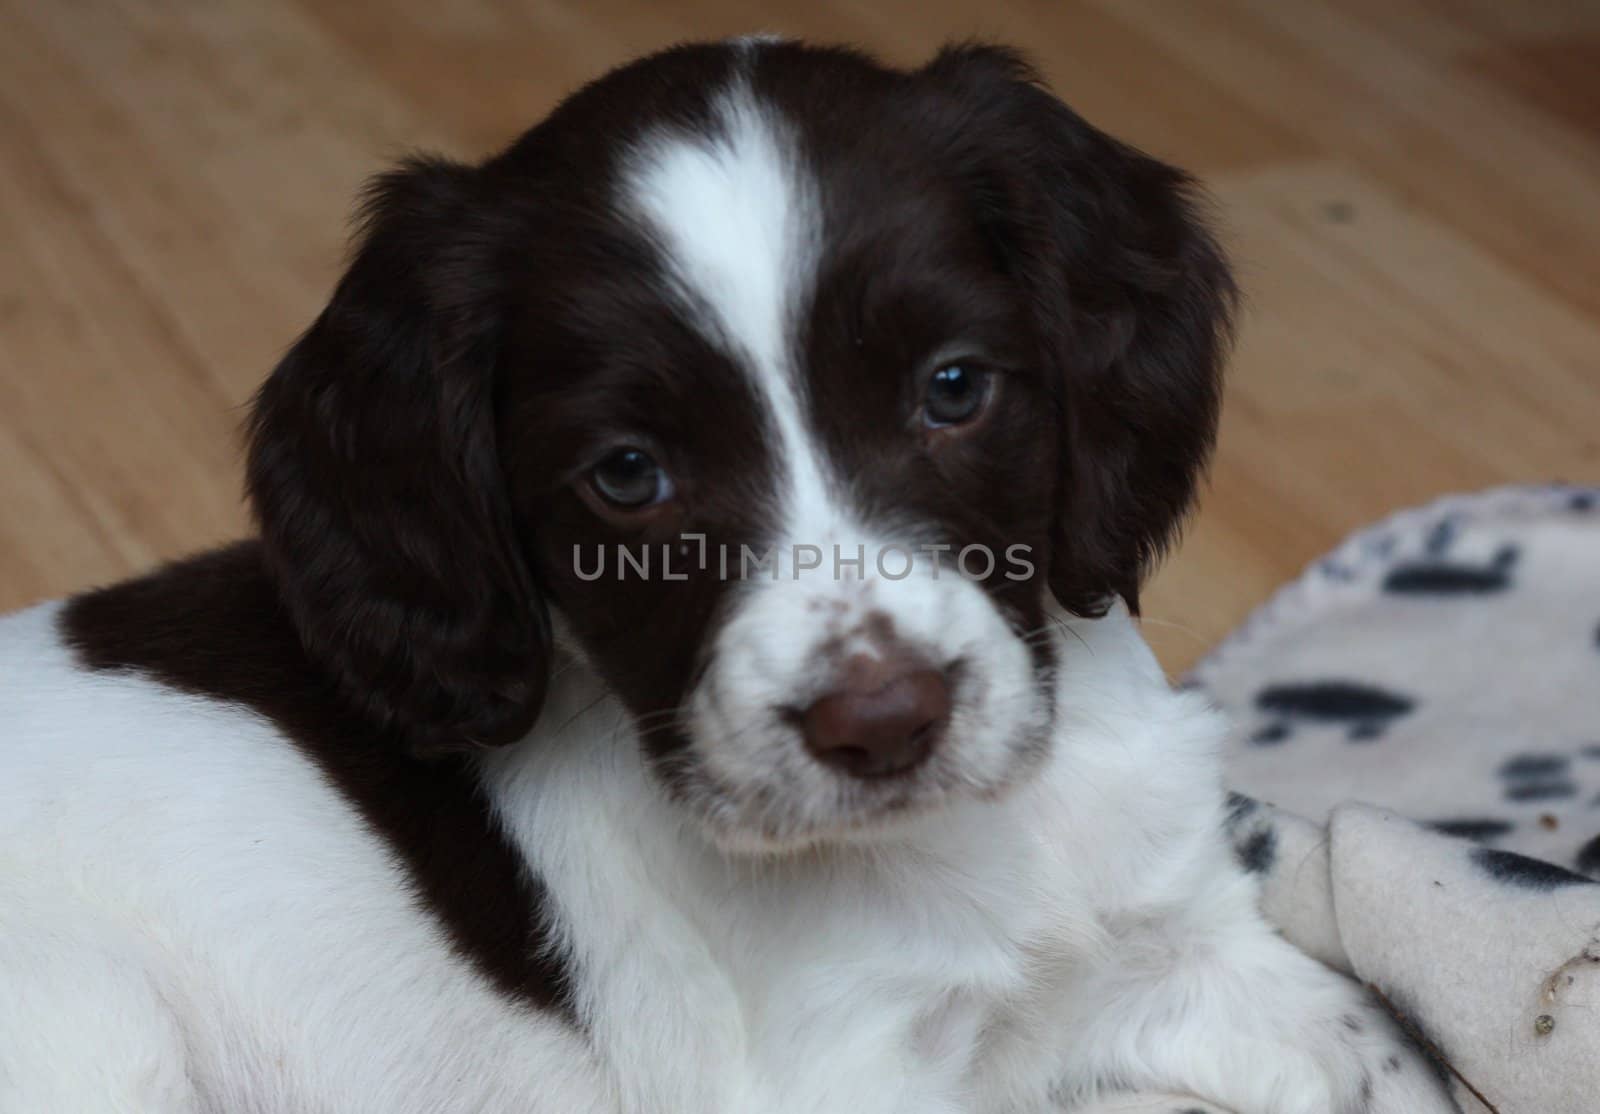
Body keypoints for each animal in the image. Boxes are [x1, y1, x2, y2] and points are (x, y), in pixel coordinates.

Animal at [0, 39, 1452, 1107]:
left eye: (953, 388)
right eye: (628, 474)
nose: (883, 725)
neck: (968, 849)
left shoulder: (1177, 940)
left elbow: (1381, 1052)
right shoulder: (837, 1074)